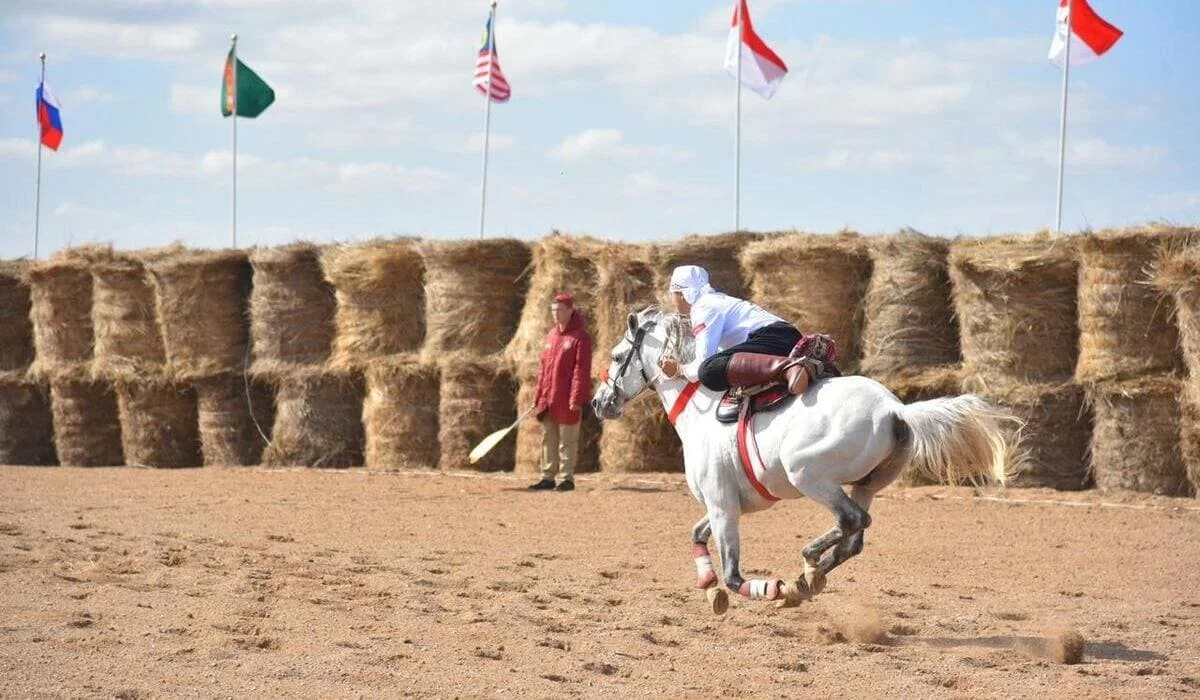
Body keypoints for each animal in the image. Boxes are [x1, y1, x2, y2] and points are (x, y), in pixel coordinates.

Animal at [590, 307, 1012, 614]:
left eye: (616, 356)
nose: (598, 402)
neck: (701, 409)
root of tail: (895, 410)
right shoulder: (723, 504)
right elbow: (697, 536)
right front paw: (710, 588)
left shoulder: (723, 505)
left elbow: (734, 575)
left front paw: (768, 588)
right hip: (866, 484)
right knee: (854, 538)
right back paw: (808, 578)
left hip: (808, 476)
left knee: (852, 521)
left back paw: (803, 570)